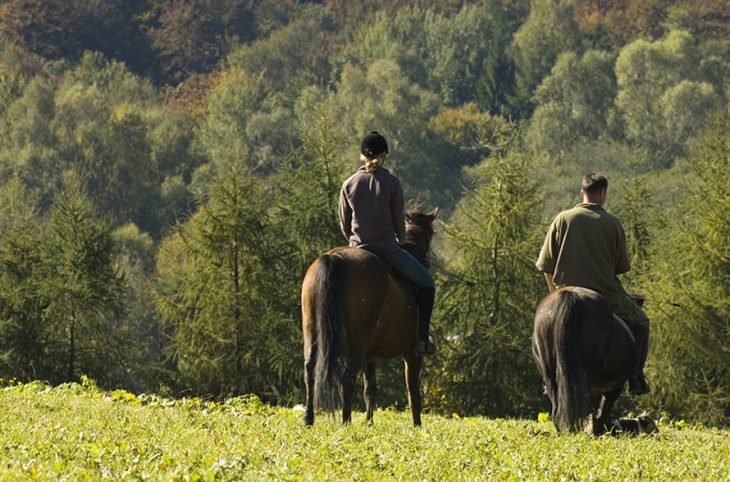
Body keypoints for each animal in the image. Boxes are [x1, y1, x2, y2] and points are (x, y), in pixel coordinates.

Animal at [298, 209, 436, 428]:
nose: (428, 264)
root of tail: (333, 257)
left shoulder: (369, 355)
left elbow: (370, 389)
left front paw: (369, 422)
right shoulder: (412, 353)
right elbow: (412, 389)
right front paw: (417, 425)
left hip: (312, 331)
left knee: (310, 371)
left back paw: (309, 419)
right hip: (357, 340)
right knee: (347, 378)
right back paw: (345, 422)